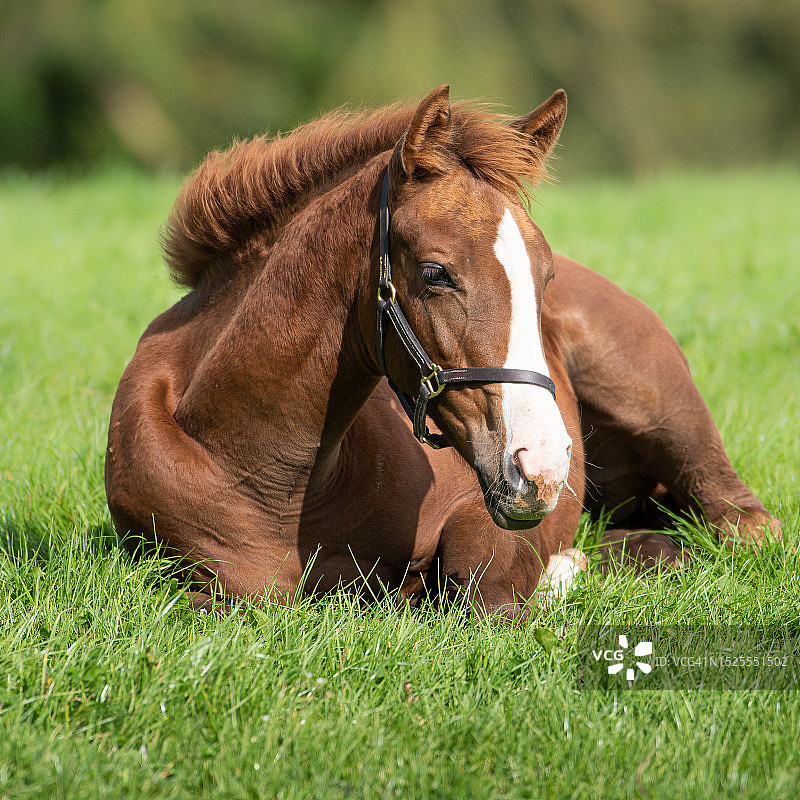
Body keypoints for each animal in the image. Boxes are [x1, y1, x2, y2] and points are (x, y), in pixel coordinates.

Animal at [103, 84, 780, 616]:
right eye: (435, 274)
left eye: (545, 275)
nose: (543, 467)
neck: (264, 478)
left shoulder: (482, 510)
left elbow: (478, 592)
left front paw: (557, 574)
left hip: (660, 412)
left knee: (747, 525)